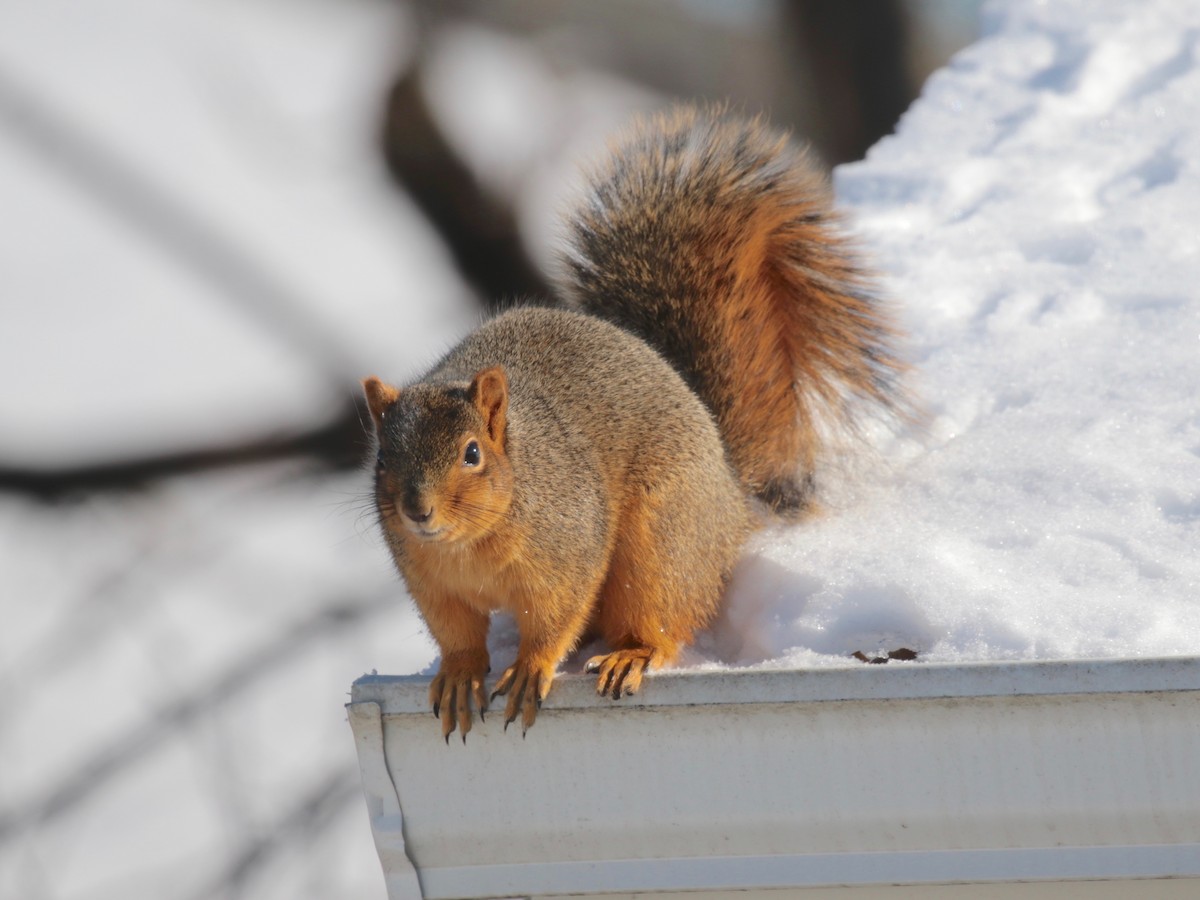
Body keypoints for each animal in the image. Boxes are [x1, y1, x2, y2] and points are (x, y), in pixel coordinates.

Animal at [362, 106, 908, 740]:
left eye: (472, 453)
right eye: (384, 456)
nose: (417, 510)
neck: (468, 544)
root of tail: (730, 494)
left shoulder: (568, 547)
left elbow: (556, 615)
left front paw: (530, 667)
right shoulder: (428, 581)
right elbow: (455, 633)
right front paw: (459, 674)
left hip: (662, 542)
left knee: (666, 617)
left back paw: (632, 655)